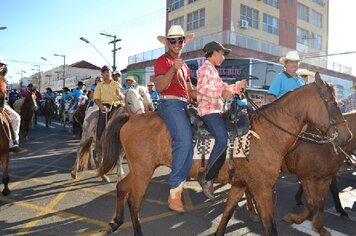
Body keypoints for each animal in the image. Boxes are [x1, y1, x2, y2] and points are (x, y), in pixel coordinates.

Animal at [101, 74, 354, 236]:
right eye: (333, 103)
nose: (346, 136)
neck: (266, 134)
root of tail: (132, 118)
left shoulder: (241, 184)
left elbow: (226, 214)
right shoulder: (263, 189)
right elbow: (271, 226)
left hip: (139, 169)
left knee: (122, 187)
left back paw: (115, 222)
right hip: (144, 171)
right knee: (134, 201)